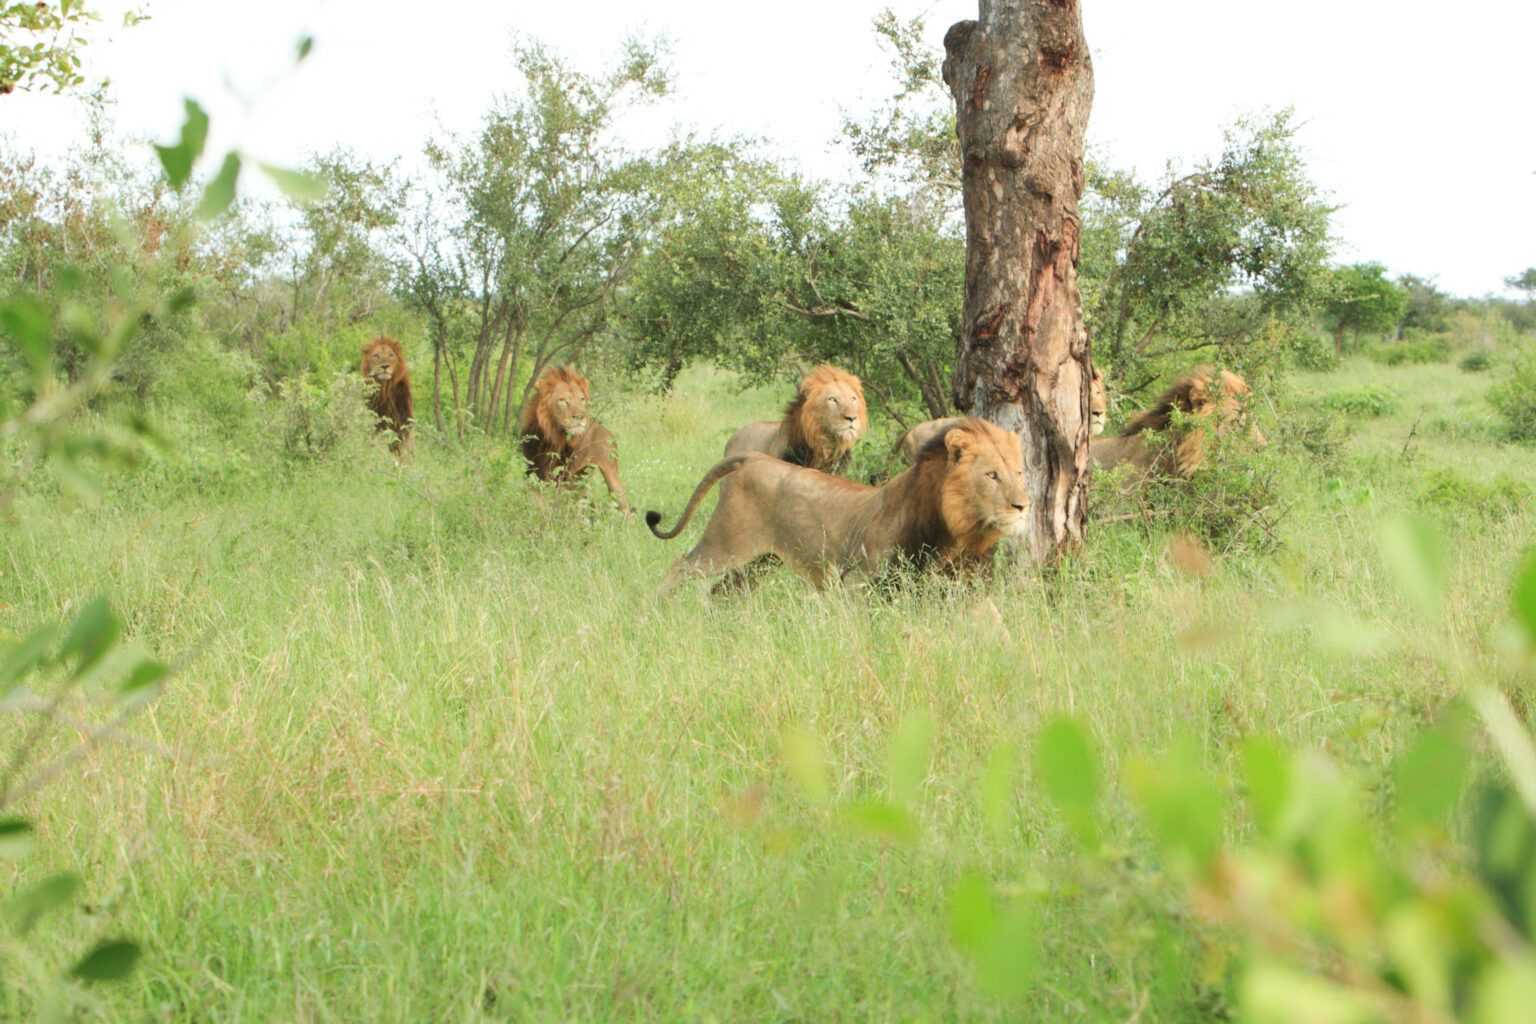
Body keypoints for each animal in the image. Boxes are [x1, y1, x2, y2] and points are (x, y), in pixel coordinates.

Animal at [519, 366, 626, 512]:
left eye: (582, 399)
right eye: (563, 400)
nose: (580, 417)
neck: (552, 436)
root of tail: (608, 433)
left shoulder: (565, 474)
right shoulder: (534, 468)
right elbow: (537, 499)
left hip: (609, 473)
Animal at [642, 417, 1026, 592]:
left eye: (1020, 472)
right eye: (992, 475)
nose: (1023, 505)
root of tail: (751, 457)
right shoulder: (856, 580)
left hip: (761, 559)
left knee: (723, 590)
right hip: (724, 544)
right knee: (680, 566)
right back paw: (655, 612)